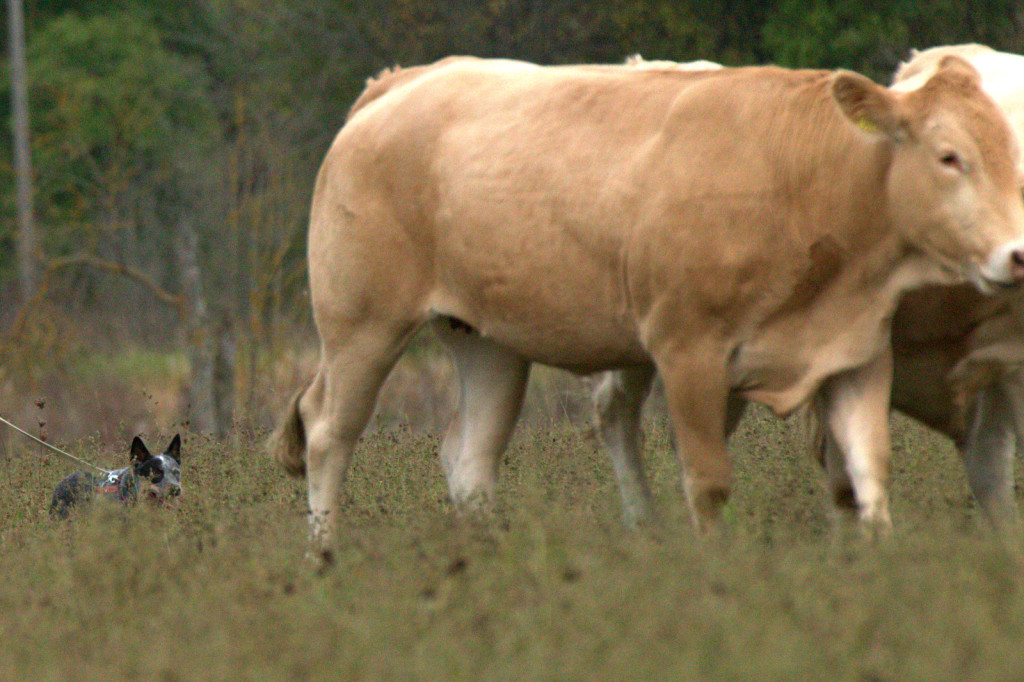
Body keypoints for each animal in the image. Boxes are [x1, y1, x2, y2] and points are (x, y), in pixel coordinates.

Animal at [270, 54, 1024, 548]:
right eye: (949, 156)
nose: (1017, 254)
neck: (802, 176)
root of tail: (401, 84)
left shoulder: (850, 349)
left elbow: (869, 473)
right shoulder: (688, 352)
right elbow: (708, 481)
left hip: (488, 341)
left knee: (471, 459)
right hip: (361, 326)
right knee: (328, 432)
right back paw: (324, 560)